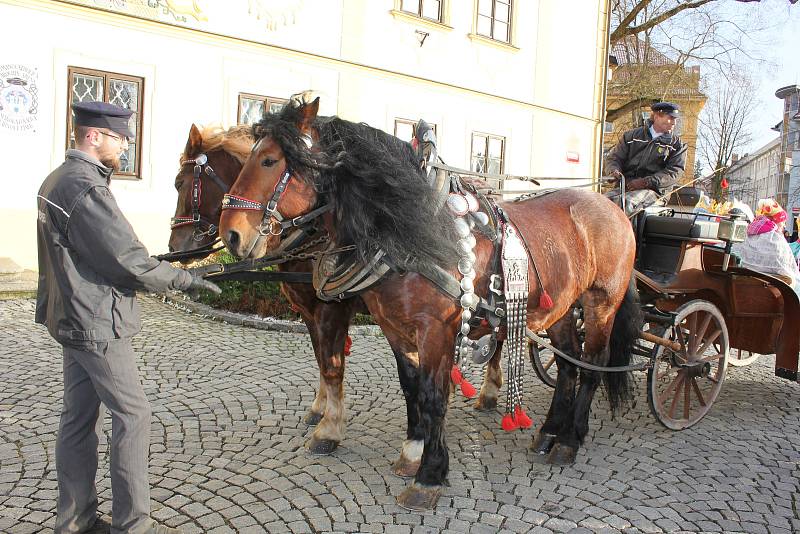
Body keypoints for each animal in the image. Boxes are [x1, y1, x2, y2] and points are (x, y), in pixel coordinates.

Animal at [169, 123, 506, 462]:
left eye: (179, 183)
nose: (175, 248)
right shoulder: (308, 312)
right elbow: (320, 358)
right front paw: (320, 409)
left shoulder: (331, 310)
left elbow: (332, 365)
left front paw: (329, 429)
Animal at [216, 98, 640, 512]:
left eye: (270, 160)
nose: (231, 234)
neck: (412, 234)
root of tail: (613, 207)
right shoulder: (393, 326)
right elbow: (411, 387)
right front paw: (412, 452)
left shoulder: (434, 328)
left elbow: (432, 395)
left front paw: (430, 475)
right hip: (560, 308)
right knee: (568, 363)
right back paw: (549, 430)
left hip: (600, 304)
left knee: (593, 364)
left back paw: (569, 439)